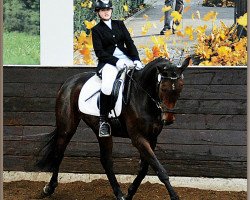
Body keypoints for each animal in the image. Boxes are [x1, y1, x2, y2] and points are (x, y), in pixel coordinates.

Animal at [35, 56, 191, 200]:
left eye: (181, 87)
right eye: (163, 88)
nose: (168, 119)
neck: (142, 96)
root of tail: (69, 82)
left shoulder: (152, 138)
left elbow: (144, 169)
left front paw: (129, 193)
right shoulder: (138, 138)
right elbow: (160, 170)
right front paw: (174, 196)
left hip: (100, 131)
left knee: (106, 160)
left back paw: (119, 194)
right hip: (67, 128)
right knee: (59, 153)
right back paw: (48, 188)